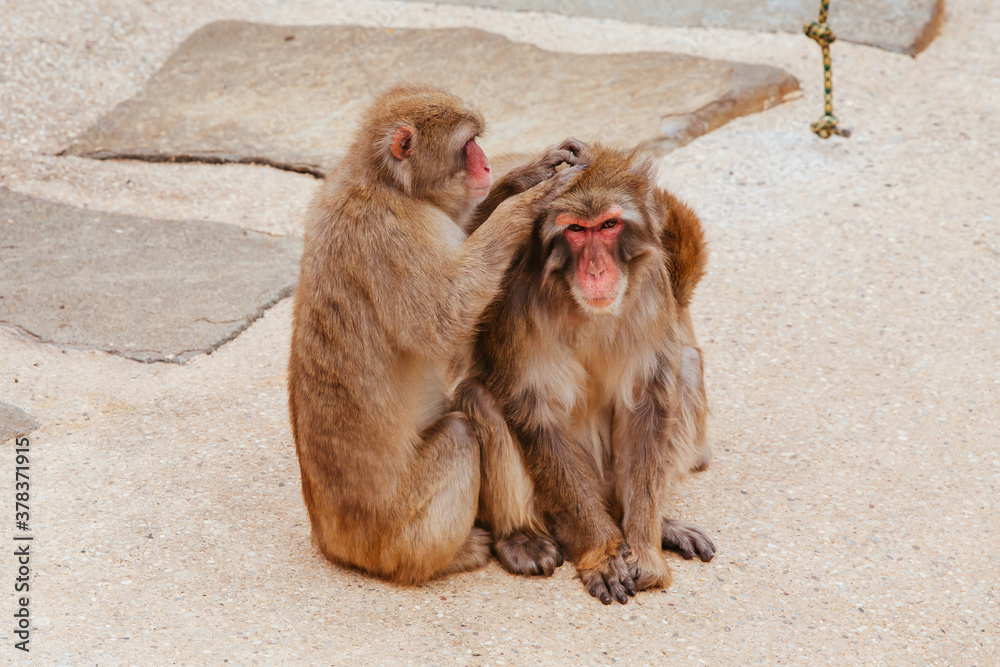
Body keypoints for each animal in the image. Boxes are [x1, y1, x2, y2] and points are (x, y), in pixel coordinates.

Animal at [288, 85, 584, 584]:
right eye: (468, 145)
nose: (486, 166)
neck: (387, 183)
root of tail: (330, 540)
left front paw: (528, 175)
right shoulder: (393, 235)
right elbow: (443, 321)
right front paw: (527, 204)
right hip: (396, 533)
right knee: (461, 433)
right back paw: (458, 554)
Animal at [458, 144, 716, 604]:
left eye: (609, 225)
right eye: (576, 230)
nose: (596, 270)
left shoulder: (652, 288)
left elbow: (646, 400)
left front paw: (645, 550)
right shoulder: (517, 300)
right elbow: (536, 410)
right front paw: (602, 553)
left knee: (683, 365)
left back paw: (657, 525)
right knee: (478, 395)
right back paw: (521, 535)